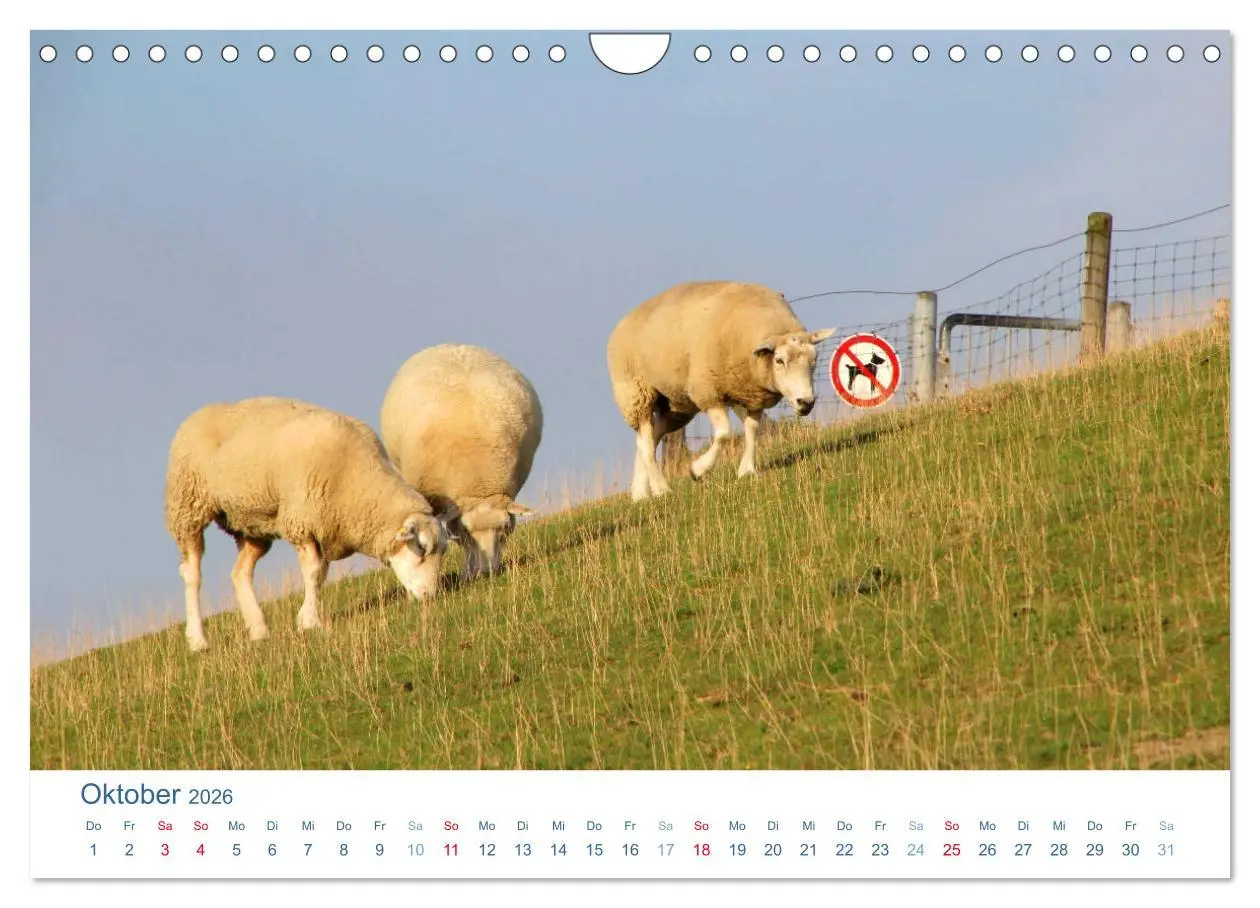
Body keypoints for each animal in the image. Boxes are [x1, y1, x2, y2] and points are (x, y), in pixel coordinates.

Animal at [164, 396, 456, 652]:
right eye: (421, 548)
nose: (430, 596)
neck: (357, 482)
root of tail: (197, 413)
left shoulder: (324, 527)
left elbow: (320, 575)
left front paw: (305, 617)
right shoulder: (301, 522)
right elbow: (313, 572)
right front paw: (310, 621)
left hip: (252, 522)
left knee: (240, 573)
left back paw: (259, 630)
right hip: (188, 505)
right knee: (191, 573)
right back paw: (198, 640)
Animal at [380, 344, 543, 577]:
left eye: (504, 529)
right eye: (467, 532)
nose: (488, 572)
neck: (479, 481)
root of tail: (451, 345)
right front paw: (468, 572)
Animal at [606, 281, 836, 500]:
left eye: (815, 359)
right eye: (779, 360)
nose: (806, 402)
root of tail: (624, 320)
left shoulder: (750, 395)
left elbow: (752, 430)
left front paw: (746, 470)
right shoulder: (708, 391)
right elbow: (725, 433)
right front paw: (697, 470)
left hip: (677, 405)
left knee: (648, 440)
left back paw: (640, 493)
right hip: (636, 392)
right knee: (646, 440)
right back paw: (661, 488)